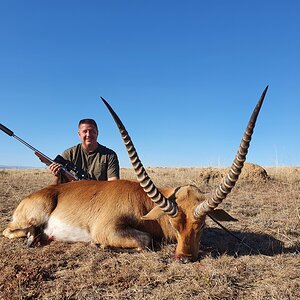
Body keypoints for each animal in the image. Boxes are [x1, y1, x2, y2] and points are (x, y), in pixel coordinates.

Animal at [2, 86, 270, 260]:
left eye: (203, 224)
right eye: (173, 224)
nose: (184, 257)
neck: (144, 202)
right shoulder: (107, 229)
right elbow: (145, 241)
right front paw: (102, 247)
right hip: (33, 215)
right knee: (8, 230)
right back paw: (33, 236)